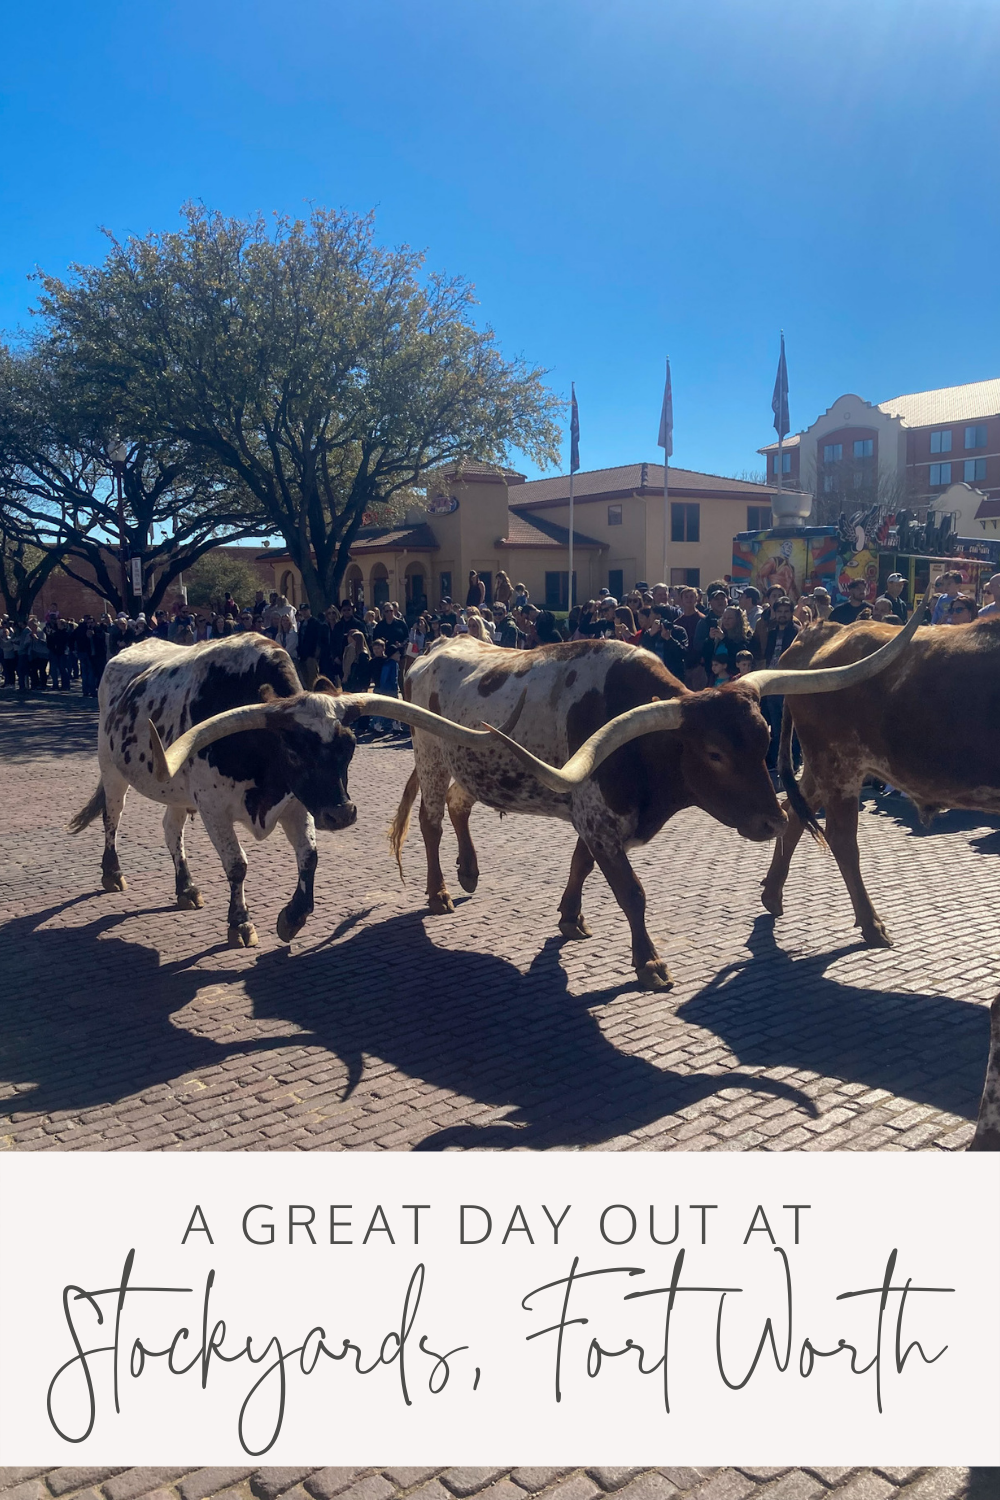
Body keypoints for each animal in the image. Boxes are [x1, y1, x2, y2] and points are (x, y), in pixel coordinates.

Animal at [65, 636, 509, 942]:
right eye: (293, 751)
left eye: (350, 745)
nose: (341, 814)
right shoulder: (212, 807)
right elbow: (238, 865)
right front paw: (240, 924)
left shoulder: (297, 805)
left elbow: (309, 858)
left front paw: (292, 918)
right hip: (112, 769)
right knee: (112, 817)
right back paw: (113, 873)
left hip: (175, 789)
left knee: (171, 830)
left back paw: (186, 889)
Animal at [392, 603, 923, 990]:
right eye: (713, 753)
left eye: (766, 738)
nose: (774, 821)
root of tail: (434, 647)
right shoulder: (600, 820)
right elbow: (631, 892)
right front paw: (648, 962)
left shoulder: (592, 816)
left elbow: (580, 865)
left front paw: (570, 917)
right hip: (431, 754)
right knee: (432, 820)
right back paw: (439, 891)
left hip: (467, 764)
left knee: (459, 805)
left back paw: (468, 871)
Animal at [758, 612, 1000, 942]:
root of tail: (821, 632)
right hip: (838, 766)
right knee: (841, 838)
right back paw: (872, 925)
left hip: (821, 768)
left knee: (793, 812)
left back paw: (772, 895)